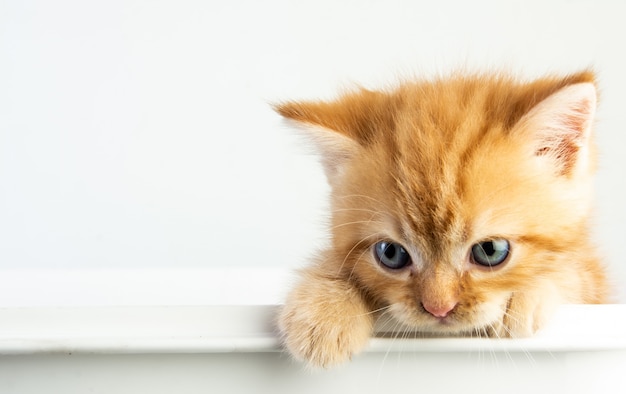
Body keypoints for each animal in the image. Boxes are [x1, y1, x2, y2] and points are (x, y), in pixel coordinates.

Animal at [272, 69, 604, 368]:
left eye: (490, 251)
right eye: (391, 254)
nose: (438, 308)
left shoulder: (597, 284)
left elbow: (575, 273)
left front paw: (525, 294)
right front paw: (325, 305)